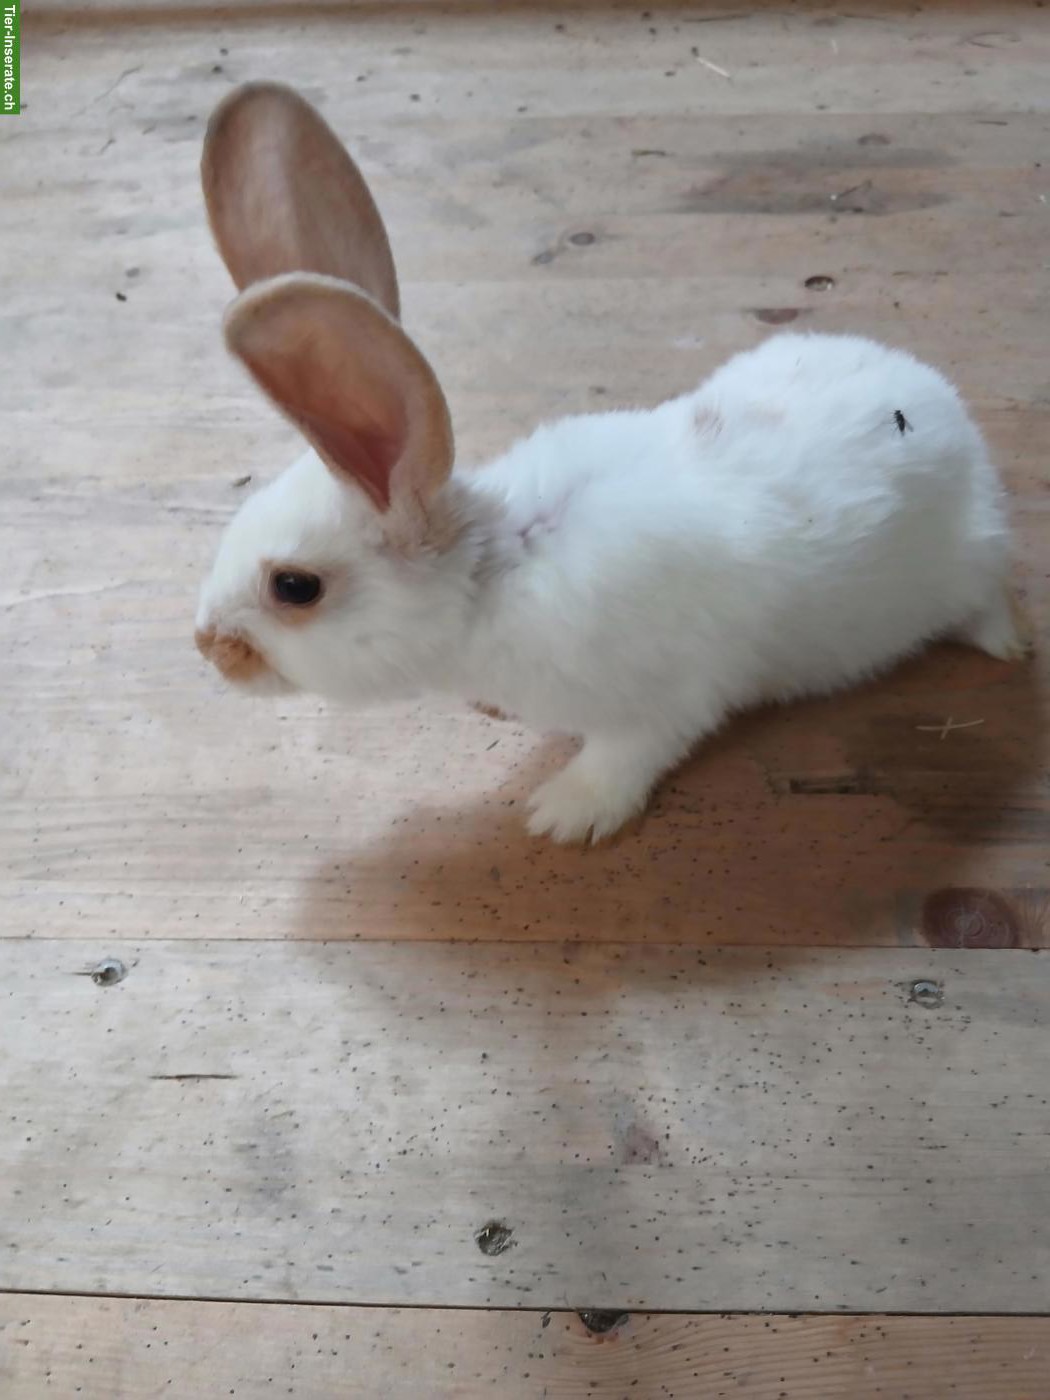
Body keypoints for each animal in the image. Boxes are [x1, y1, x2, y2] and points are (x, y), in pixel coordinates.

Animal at [195, 82, 1027, 844]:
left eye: (295, 587)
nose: (208, 647)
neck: (492, 581)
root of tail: (942, 401)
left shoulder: (667, 698)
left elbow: (627, 755)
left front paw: (563, 814)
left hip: (969, 560)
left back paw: (1007, 644)